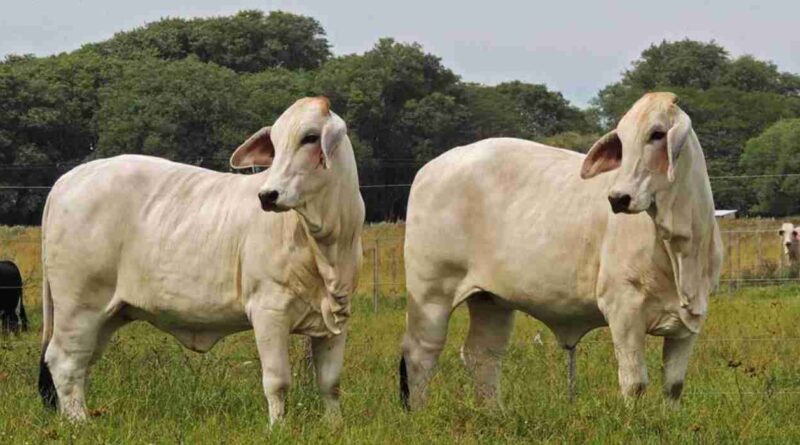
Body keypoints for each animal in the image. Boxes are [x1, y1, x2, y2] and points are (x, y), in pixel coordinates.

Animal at [36, 96, 362, 424]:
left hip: (107, 314)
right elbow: (277, 381)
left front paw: (334, 426)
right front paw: (278, 427)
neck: (326, 243)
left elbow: (330, 383)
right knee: (64, 361)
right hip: (78, 306)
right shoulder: (269, 312)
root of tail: (67, 179)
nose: (268, 195)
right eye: (275, 143)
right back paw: (79, 422)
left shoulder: (337, 319)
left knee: (82, 364)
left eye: (310, 138)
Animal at [404, 91, 720, 410]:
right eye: (621, 139)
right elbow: (634, 383)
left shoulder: (690, 323)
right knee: (420, 354)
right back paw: (419, 412)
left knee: (483, 355)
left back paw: (495, 413)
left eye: (657, 134)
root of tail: (430, 167)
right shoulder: (624, 310)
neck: (680, 248)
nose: (618, 198)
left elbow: (673, 386)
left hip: (491, 300)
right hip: (431, 293)